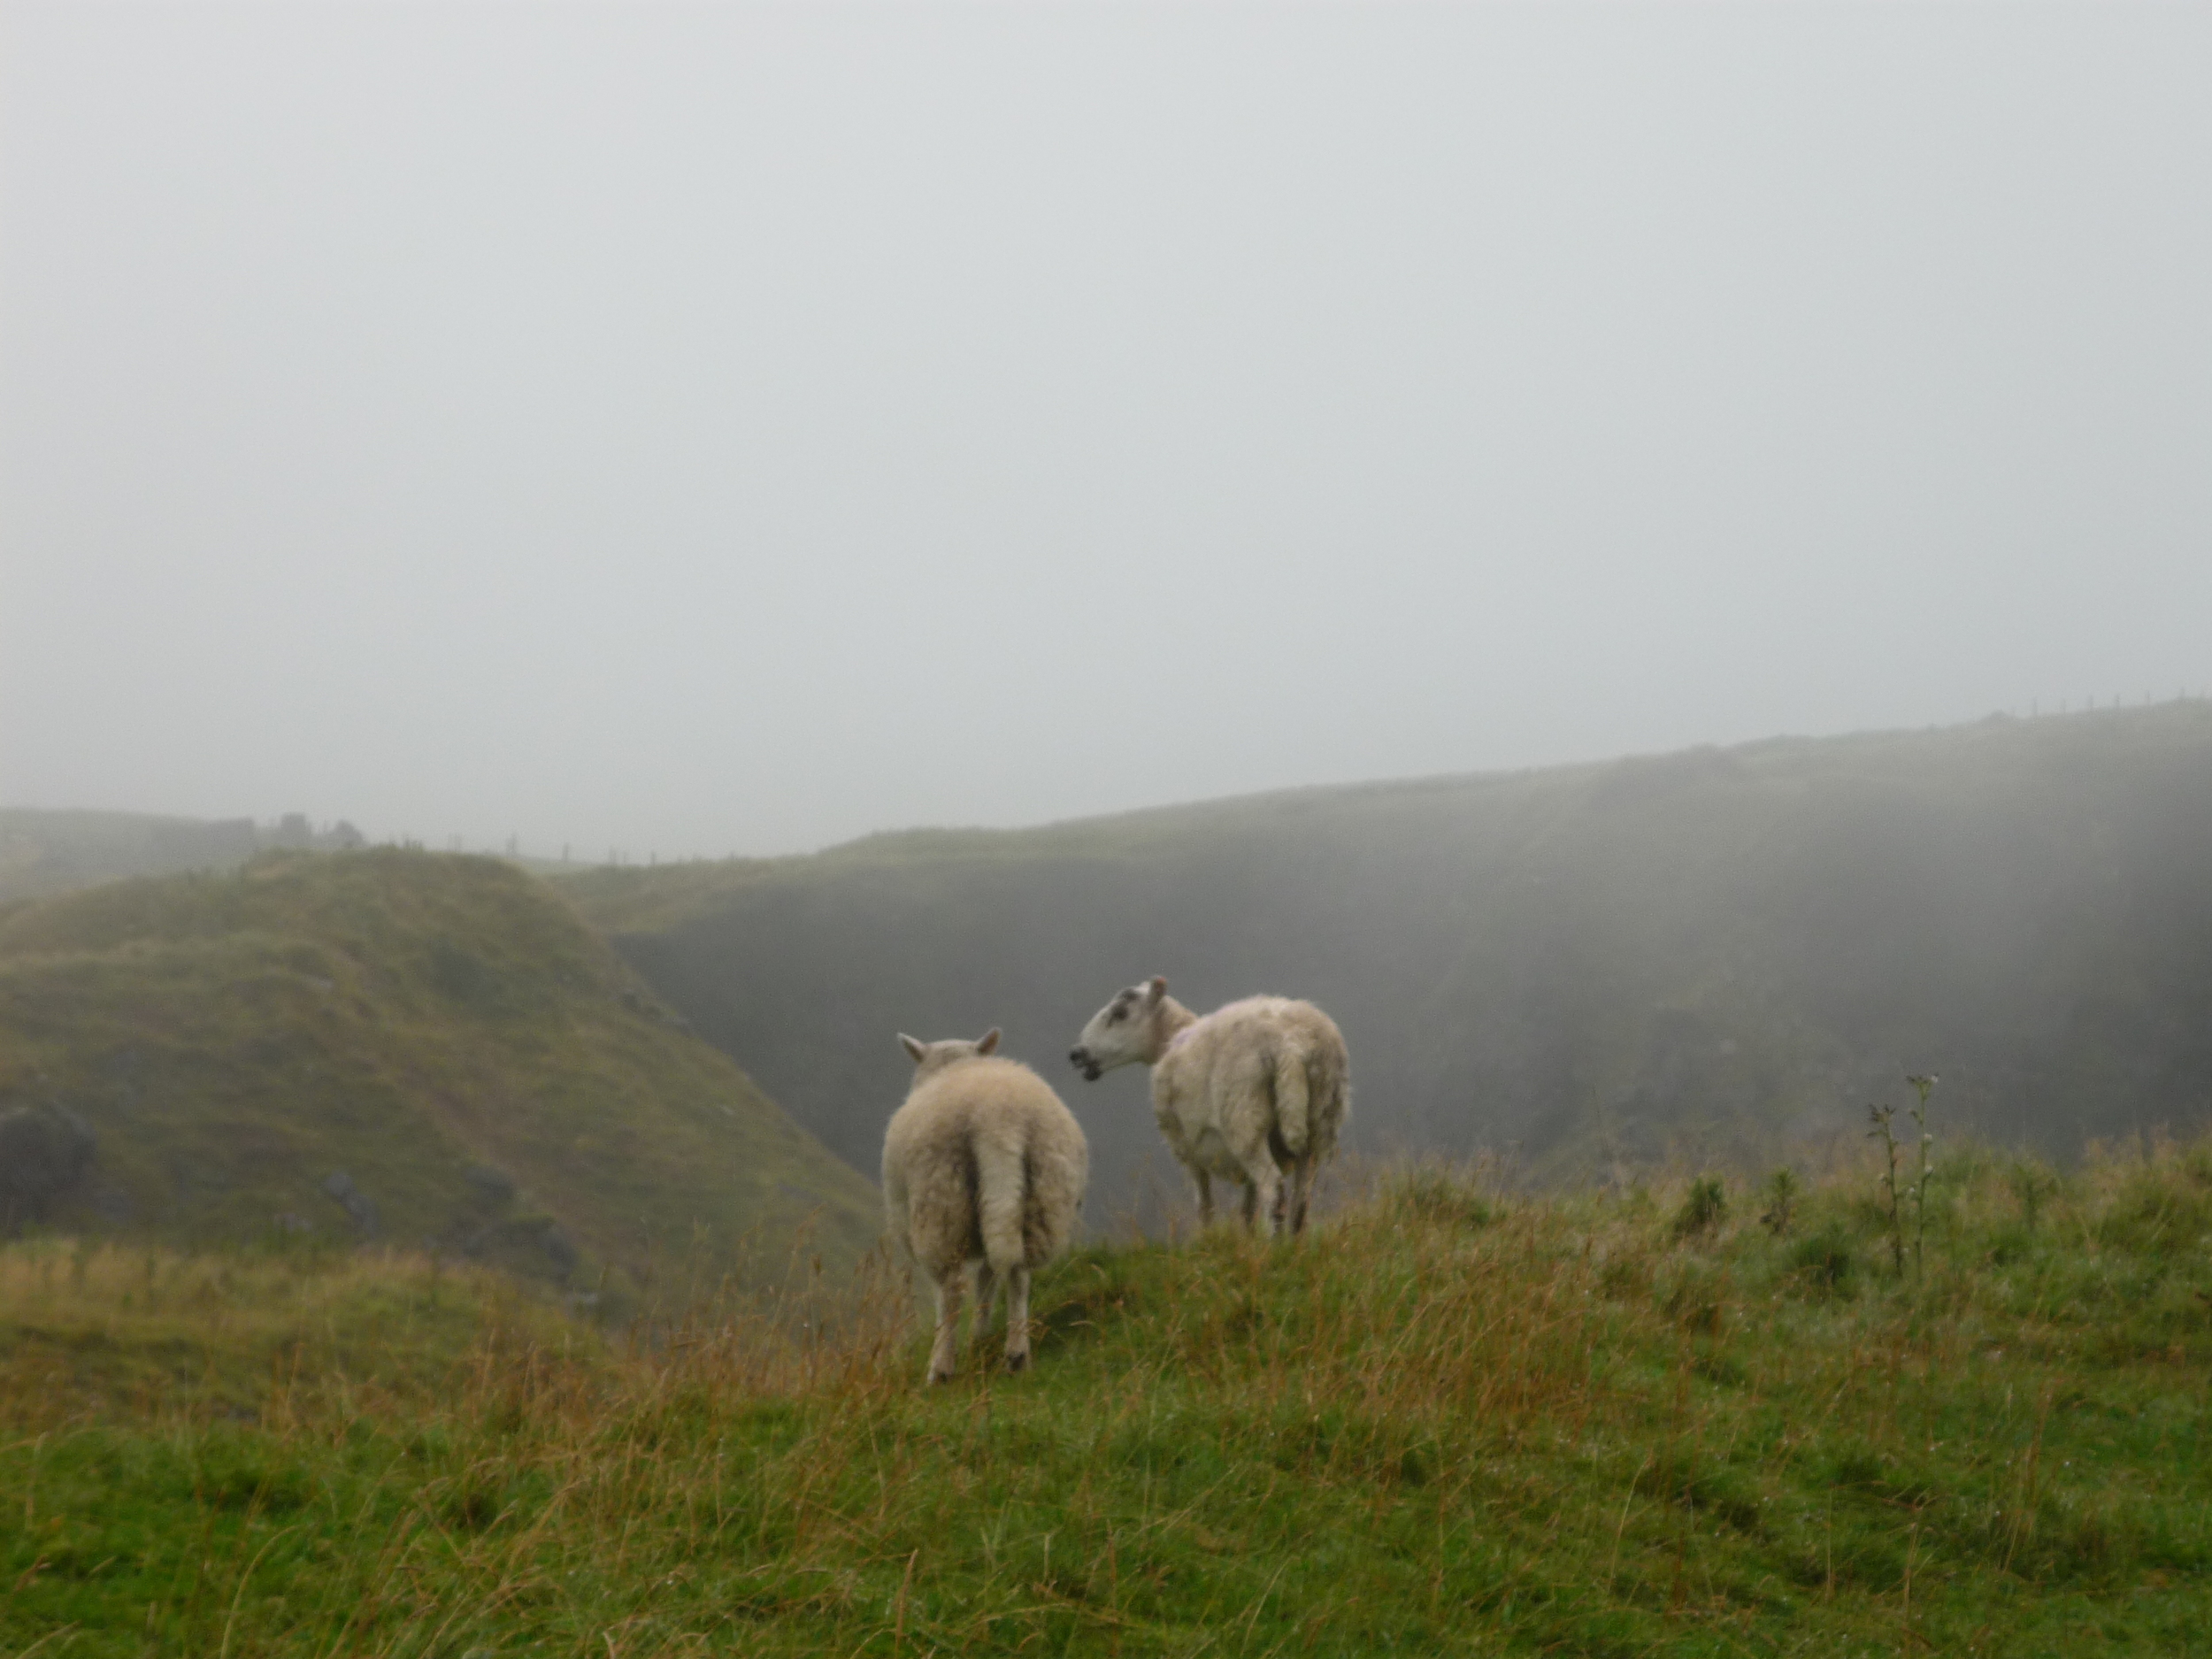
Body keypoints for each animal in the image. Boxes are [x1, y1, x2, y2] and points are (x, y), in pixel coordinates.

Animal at [880, 1035, 1088, 1380]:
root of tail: (996, 1119)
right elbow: (987, 1279)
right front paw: (980, 1336)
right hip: (1040, 1196)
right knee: (1018, 1274)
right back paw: (1016, 1353)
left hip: (940, 1203)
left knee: (950, 1289)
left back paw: (940, 1369)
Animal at [1071, 982, 1345, 1239]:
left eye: (1120, 1013)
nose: (1076, 1053)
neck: (1170, 1039)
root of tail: (1290, 1044)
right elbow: (1247, 1210)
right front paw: (1247, 1242)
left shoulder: (1186, 1147)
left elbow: (1205, 1206)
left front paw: (1207, 1239)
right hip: (1320, 1121)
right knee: (1301, 1200)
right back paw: (1294, 1246)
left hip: (1245, 1120)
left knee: (1273, 1189)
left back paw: (1275, 1247)